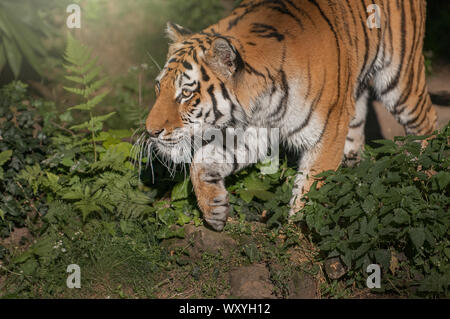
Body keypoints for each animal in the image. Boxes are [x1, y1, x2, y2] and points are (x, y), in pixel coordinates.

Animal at [144, 0, 436, 230]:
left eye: (185, 93)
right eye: (158, 87)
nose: (150, 131)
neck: (259, 105)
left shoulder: (327, 135)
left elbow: (309, 196)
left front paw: (297, 240)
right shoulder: (254, 134)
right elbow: (202, 160)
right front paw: (213, 208)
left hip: (400, 76)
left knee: (427, 122)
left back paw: (423, 179)